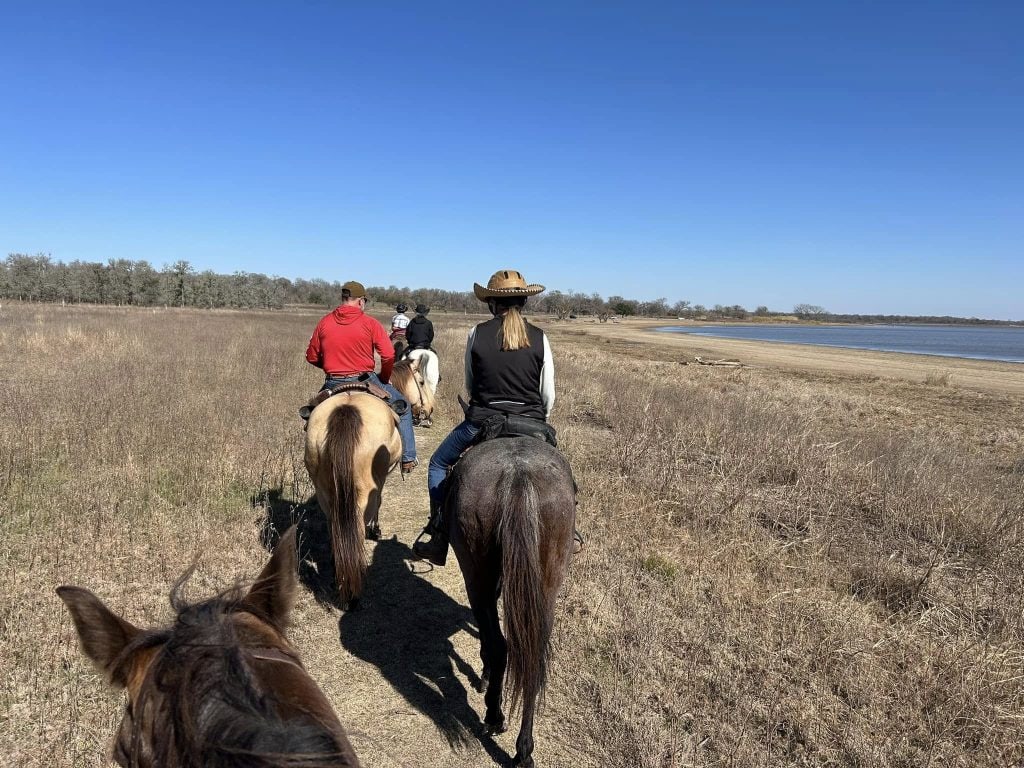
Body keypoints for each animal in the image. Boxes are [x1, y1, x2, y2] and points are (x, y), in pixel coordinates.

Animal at [304, 391, 402, 607]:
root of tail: (346, 410)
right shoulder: (381, 480)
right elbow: (379, 502)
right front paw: (376, 530)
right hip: (364, 492)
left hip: (324, 490)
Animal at [444, 437, 576, 767]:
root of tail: (518, 476)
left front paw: (483, 678)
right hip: (547, 582)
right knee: (533, 656)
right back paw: (524, 750)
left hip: (476, 575)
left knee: (499, 645)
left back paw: (494, 715)